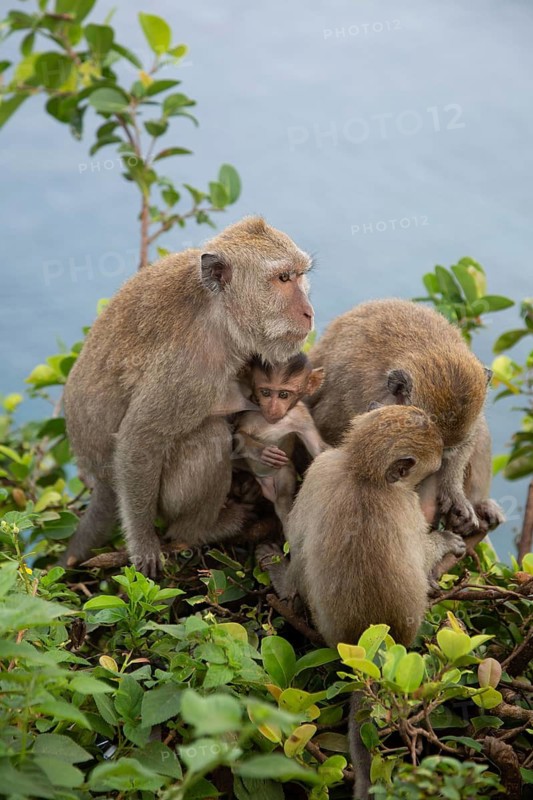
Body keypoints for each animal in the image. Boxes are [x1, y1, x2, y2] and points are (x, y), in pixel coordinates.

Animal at [62, 216, 314, 577]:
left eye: (300, 275)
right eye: (283, 278)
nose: (308, 311)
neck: (218, 313)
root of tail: (101, 480)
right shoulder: (190, 363)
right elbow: (141, 436)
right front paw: (144, 544)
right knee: (209, 437)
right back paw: (199, 530)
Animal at [231, 352, 328, 526]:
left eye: (283, 395)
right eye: (265, 392)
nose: (272, 408)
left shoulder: (302, 416)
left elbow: (318, 448)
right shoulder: (250, 414)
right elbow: (239, 436)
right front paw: (263, 452)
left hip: (283, 471)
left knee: (282, 500)